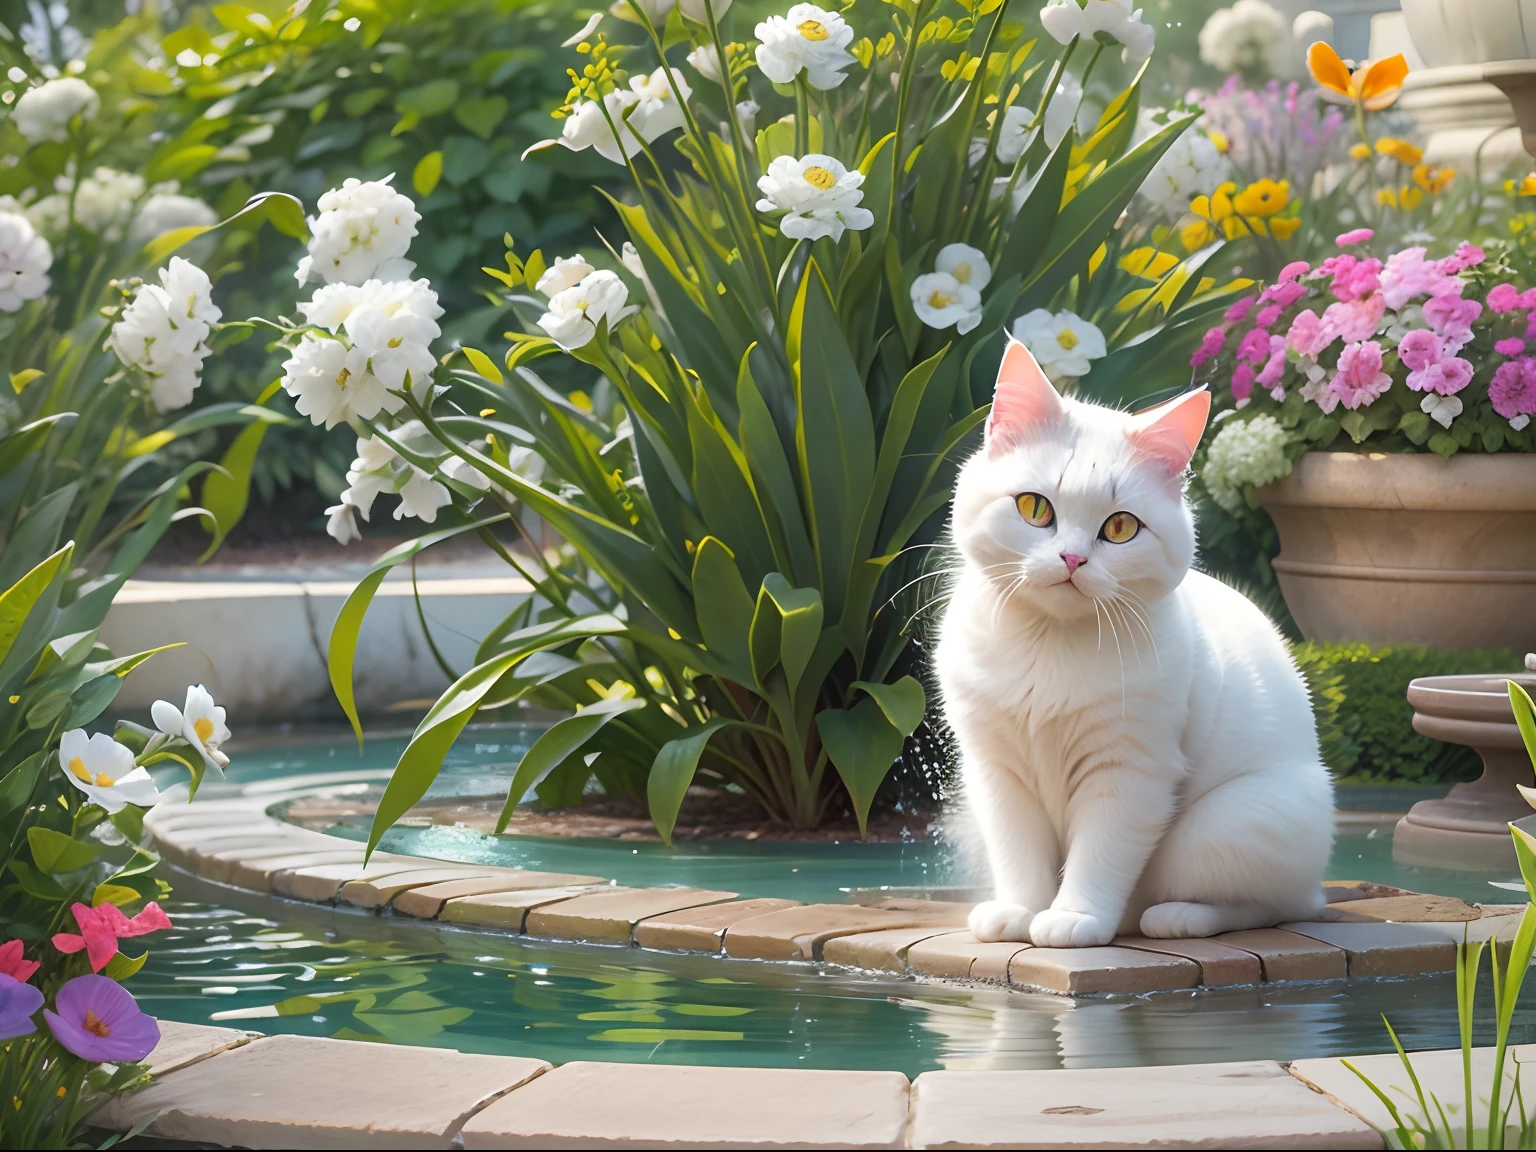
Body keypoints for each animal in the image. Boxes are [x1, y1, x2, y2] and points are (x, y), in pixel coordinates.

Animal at [927, 340, 1339, 946]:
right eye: (1034, 508)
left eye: (1120, 528)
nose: (1072, 559)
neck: (1048, 645)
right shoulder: (998, 771)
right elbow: (1017, 852)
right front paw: (1019, 911)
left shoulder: (1129, 771)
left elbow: (1099, 854)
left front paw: (1073, 918)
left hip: (1223, 830)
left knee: (1271, 906)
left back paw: (1175, 917)